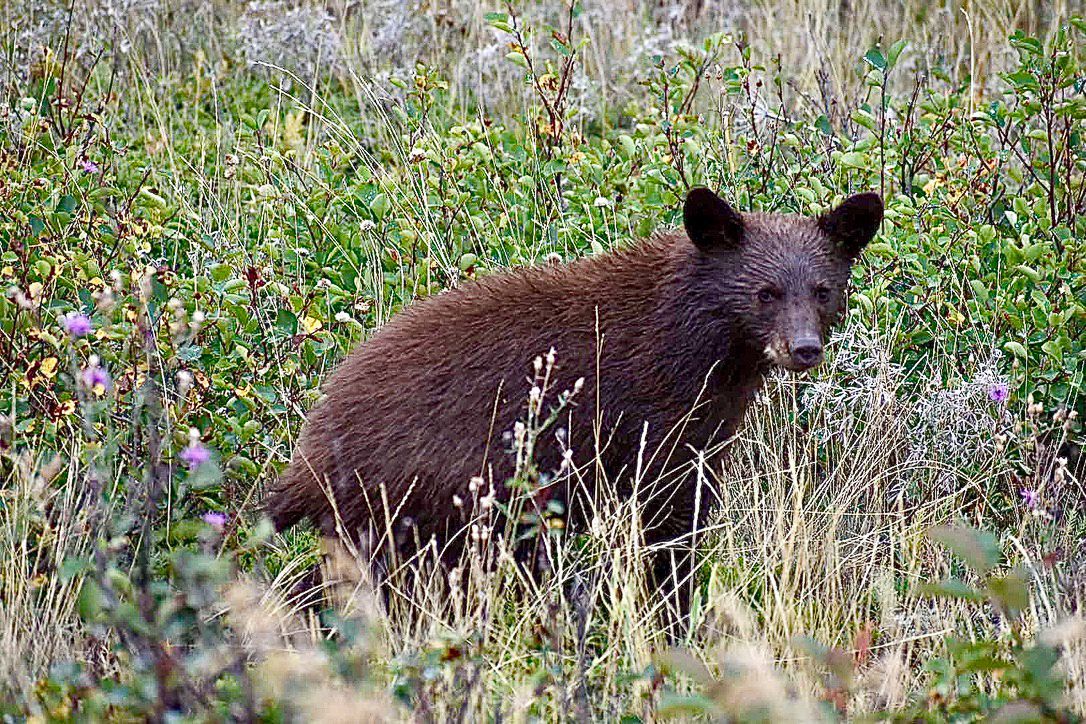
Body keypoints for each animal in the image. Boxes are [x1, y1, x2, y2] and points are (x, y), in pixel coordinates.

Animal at [265, 187, 882, 615]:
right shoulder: (654, 425)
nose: (804, 348)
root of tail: (307, 454)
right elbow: (670, 530)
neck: (699, 346)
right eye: (765, 293)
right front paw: (674, 619)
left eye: (823, 290)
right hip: (418, 503)